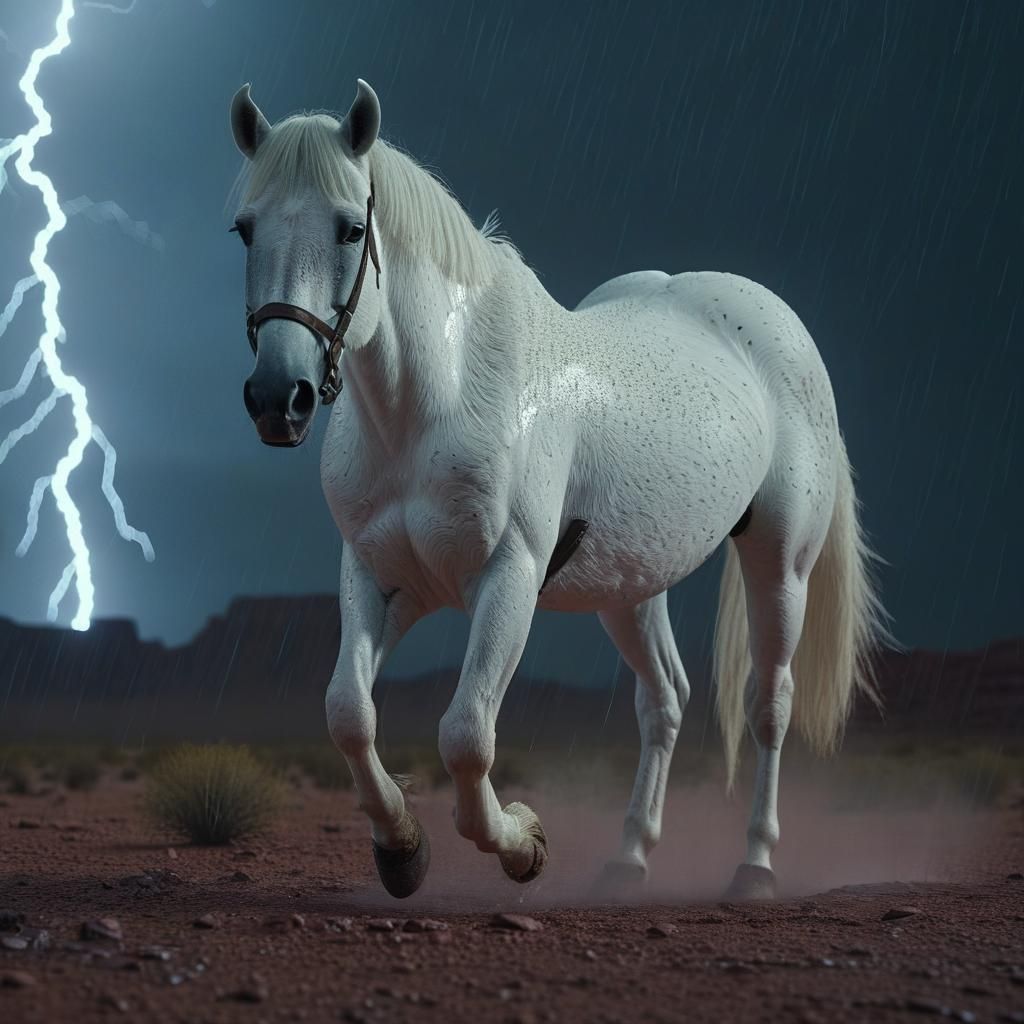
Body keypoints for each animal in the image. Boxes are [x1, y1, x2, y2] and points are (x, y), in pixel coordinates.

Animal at [227, 79, 885, 901]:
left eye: (352, 229)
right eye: (244, 229)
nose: (276, 398)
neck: (434, 401)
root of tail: (779, 323)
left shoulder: (507, 579)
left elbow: (467, 733)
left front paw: (523, 842)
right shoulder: (381, 577)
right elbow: (349, 713)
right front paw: (402, 849)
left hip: (779, 565)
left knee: (770, 704)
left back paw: (754, 866)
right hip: (632, 585)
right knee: (664, 701)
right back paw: (628, 858)